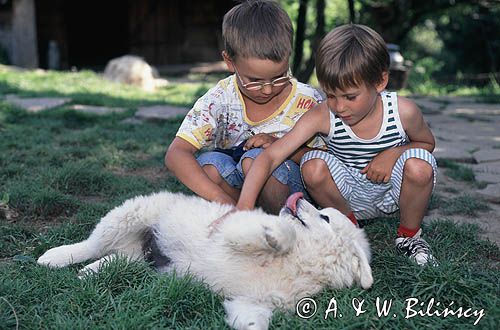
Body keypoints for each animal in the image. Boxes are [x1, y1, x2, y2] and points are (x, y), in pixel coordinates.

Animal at [38, 191, 372, 330]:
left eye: (325, 217)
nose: (300, 196)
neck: (301, 263)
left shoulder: (253, 302)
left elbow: (253, 321)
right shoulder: (233, 230)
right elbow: (278, 233)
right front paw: (276, 237)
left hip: (137, 257)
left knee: (116, 260)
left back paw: (89, 274)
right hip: (129, 215)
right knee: (91, 244)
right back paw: (54, 258)